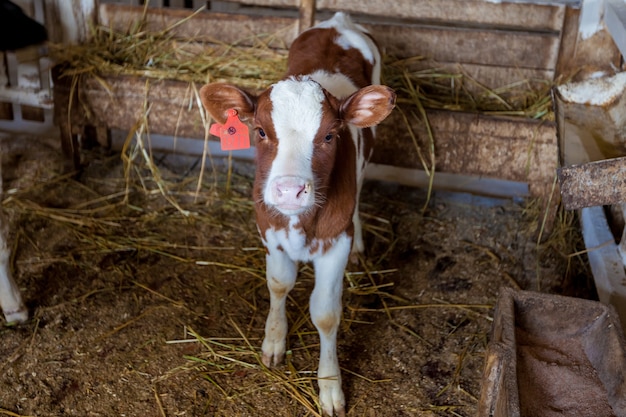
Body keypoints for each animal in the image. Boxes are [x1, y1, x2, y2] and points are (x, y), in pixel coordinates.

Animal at [200, 11, 394, 414]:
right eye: (259, 130)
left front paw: (331, 386)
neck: (298, 223)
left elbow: (326, 312)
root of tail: (338, 21)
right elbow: (279, 283)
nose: (290, 190)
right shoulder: (268, 230)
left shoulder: (335, 242)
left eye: (330, 136)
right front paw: (274, 341)